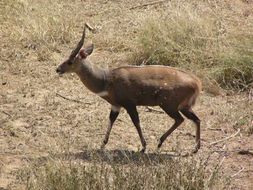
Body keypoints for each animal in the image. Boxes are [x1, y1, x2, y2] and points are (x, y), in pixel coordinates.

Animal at [56, 25, 202, 153]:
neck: (106, 80)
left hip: (168, 105)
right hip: (183, 106)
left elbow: (136, 122)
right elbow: (111, 120)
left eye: (70, 61)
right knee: (196, 119)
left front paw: (143, 147)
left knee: (180, 119)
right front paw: (102, 145)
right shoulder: (116, 105)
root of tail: (197, 82)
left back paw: (160, 142)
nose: (58, 69)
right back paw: (194, 148)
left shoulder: (129, 104)